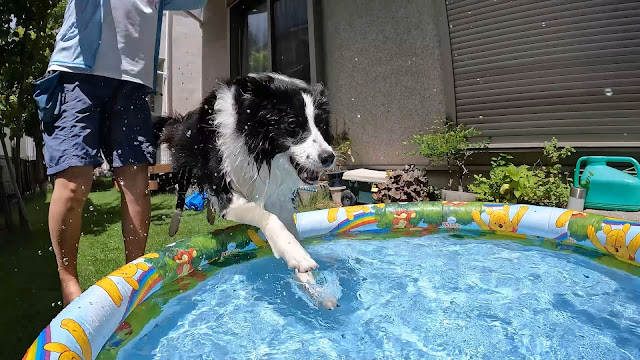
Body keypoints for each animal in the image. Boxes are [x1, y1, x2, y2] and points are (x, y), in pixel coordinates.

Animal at [156, 72, 336, 278]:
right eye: (292, 124)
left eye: (321, 125)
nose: (329, 157)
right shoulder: (226, 192)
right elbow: (265, 215)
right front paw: (296, 253)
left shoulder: (278, 196)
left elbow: (289, 227)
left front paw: (306, 276)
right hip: (186, 163)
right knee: (181, 193)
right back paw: (174, 226)